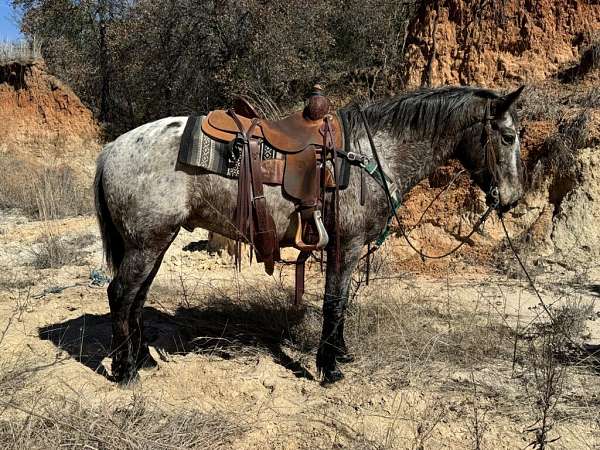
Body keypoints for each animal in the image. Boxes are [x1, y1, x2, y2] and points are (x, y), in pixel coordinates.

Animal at [95, 86, 524, 384]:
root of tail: (111, 150)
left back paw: (143, 359)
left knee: (137, 298)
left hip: (154, 242)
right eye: (508, 137)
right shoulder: (347, 245)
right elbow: (335, 301)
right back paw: (125, 370)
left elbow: (342, 303)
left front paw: (341, 353)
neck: (372, 155)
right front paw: (329, 368)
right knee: (121, 295)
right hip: (146, 243)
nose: (512, 198)